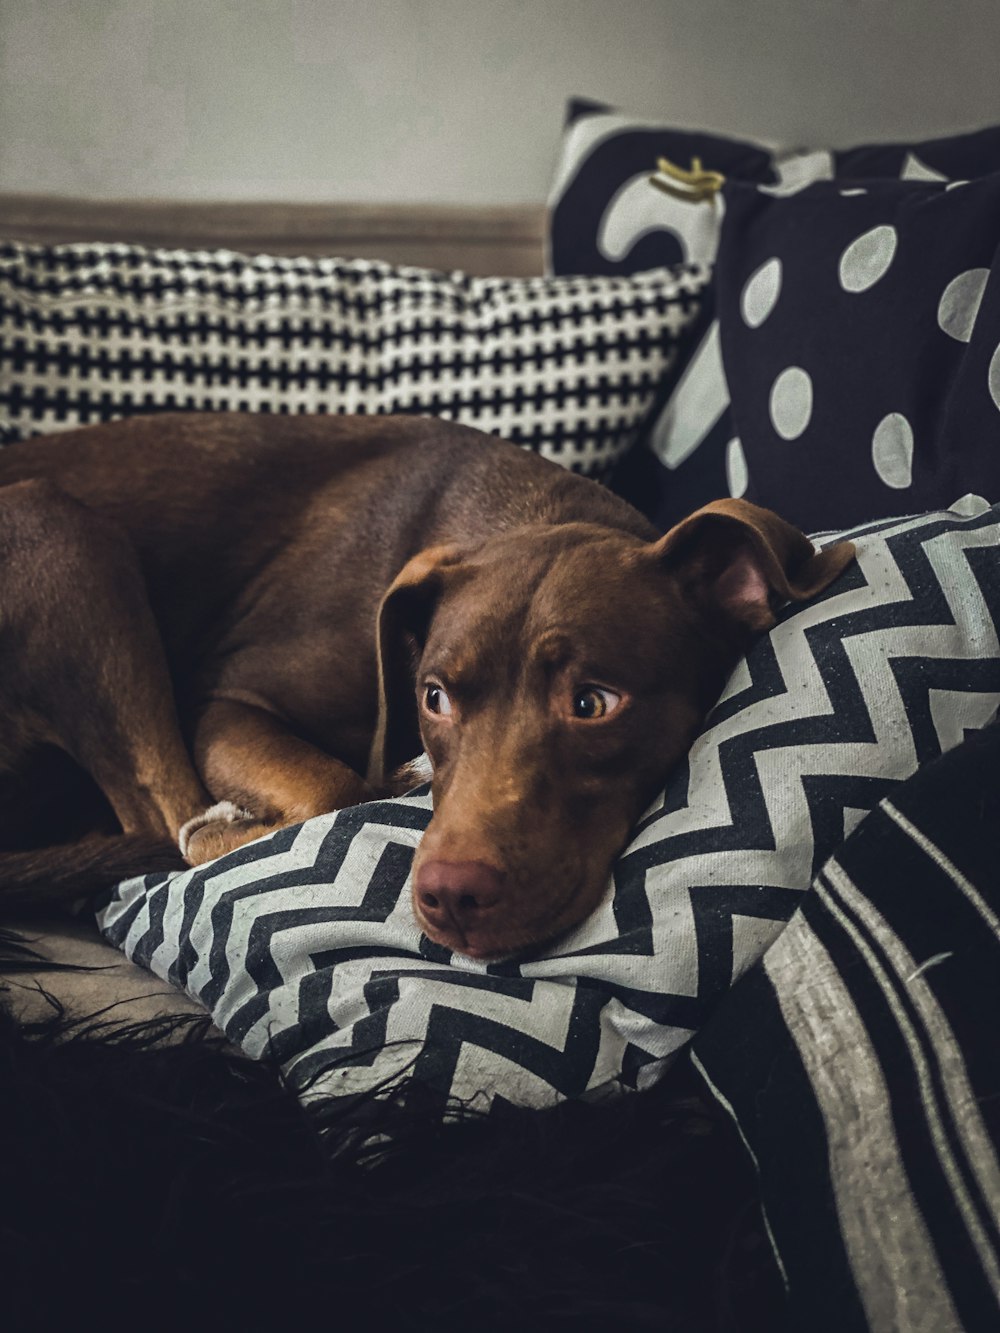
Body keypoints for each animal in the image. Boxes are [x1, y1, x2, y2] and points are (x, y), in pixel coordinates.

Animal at [0, 415, 853, 959]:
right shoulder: (229, 701)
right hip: (59, 531)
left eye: (593, 703)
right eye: (434, 696)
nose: (451, 895)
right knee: (178, 823)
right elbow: (331, 788)